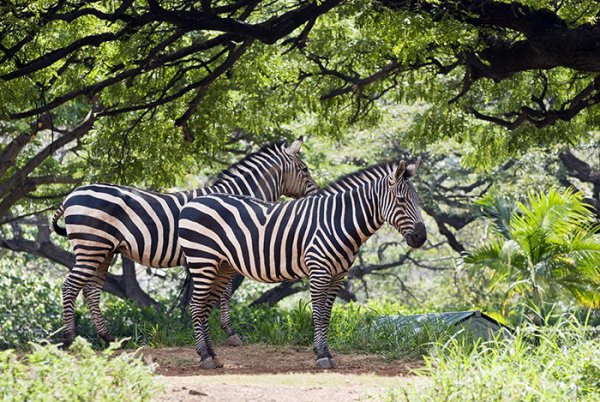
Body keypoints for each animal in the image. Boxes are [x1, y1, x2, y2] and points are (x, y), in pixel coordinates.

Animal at [51, 138, 318, 346]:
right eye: (305, 169)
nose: (317, 194)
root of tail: (71, 195)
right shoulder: (226, 253)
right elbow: (224, 293)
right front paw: (229, 333)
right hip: (91, 247)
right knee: (70, 287)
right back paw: (70, 339)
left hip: (104, 251)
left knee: (91, 290)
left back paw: (107, 337)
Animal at [178, 157, 426, 368]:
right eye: (401, 200)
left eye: (418, 200)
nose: (421, 237)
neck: (338, 221)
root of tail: (193, 202)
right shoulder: (319, 271)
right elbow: (318, 314)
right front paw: (322, 356)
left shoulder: (338, 275)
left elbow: (326, 316)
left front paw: (325, 353)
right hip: (203, 261)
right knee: (196, 306)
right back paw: (205, 356)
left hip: (221, 266)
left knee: (204, 307)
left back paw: (212, 355)